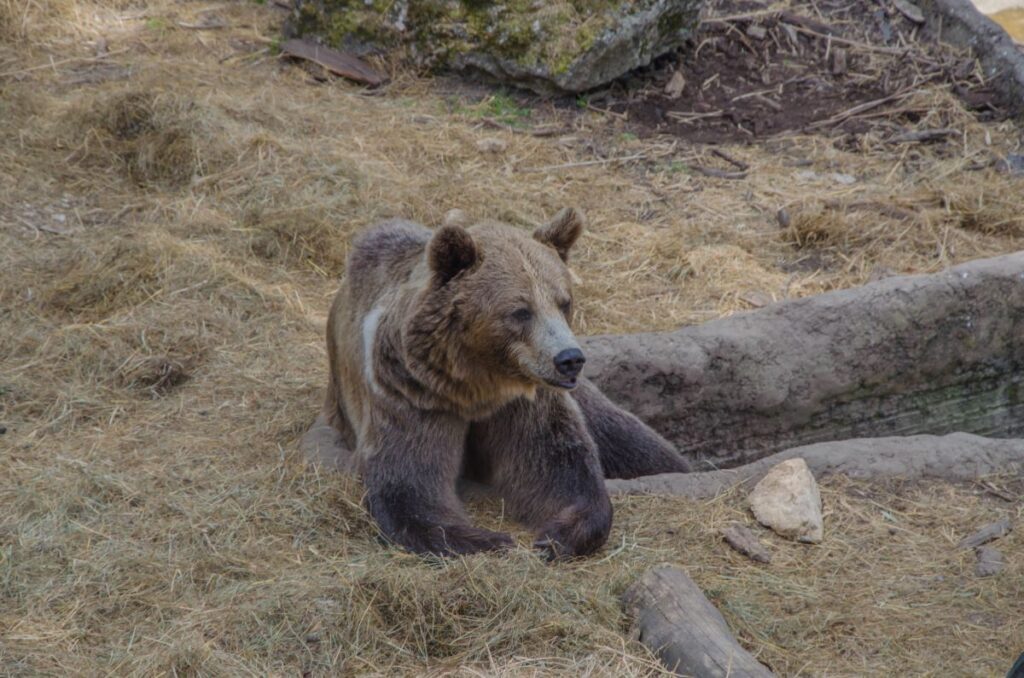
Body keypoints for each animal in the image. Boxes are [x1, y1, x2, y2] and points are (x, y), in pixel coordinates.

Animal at [317, 209, 688, 561]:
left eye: (564, 301)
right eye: (521, 311)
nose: (569, 358)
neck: (476, 386)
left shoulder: (526, 403)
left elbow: (558, 468)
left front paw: (557, 535)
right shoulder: (410, 393)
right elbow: (409, 481)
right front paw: (489, 540)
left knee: (636, 444)